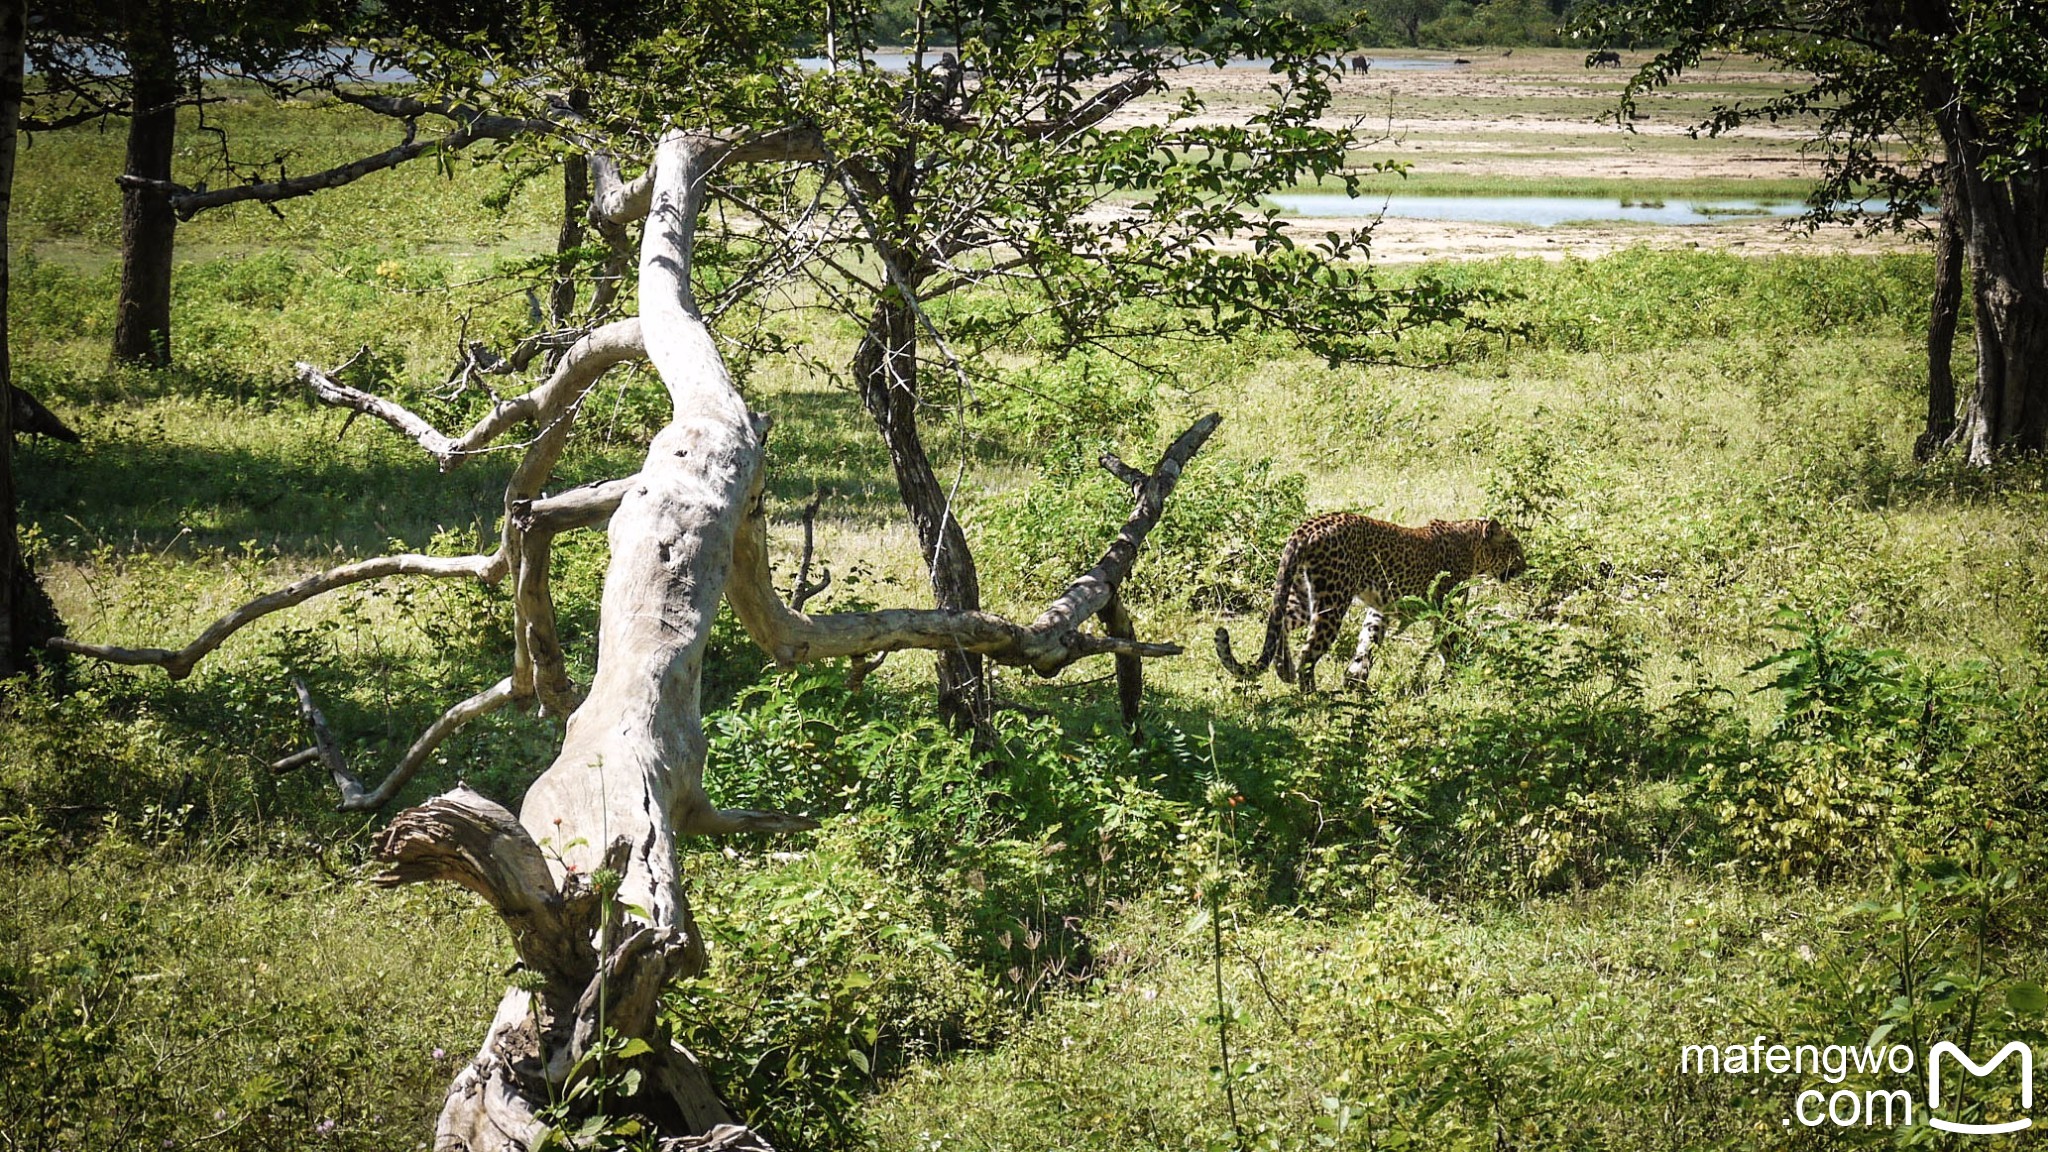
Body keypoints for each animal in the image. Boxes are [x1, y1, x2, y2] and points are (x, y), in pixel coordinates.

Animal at [1212, 512, 1523, 688]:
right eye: (1514, 547)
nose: (1525, 565)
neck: (1471, 543)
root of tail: (1307, 526)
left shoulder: (1380, 609)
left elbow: (1368, 642)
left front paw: (1355, 680)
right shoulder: (1445, 607)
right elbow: (1453, 641)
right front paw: (1454, 679)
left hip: (1302, 595)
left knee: (1279, 625)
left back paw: (1283, 670)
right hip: (1333, 600)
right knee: (1308, 653)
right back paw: (1312, 697)